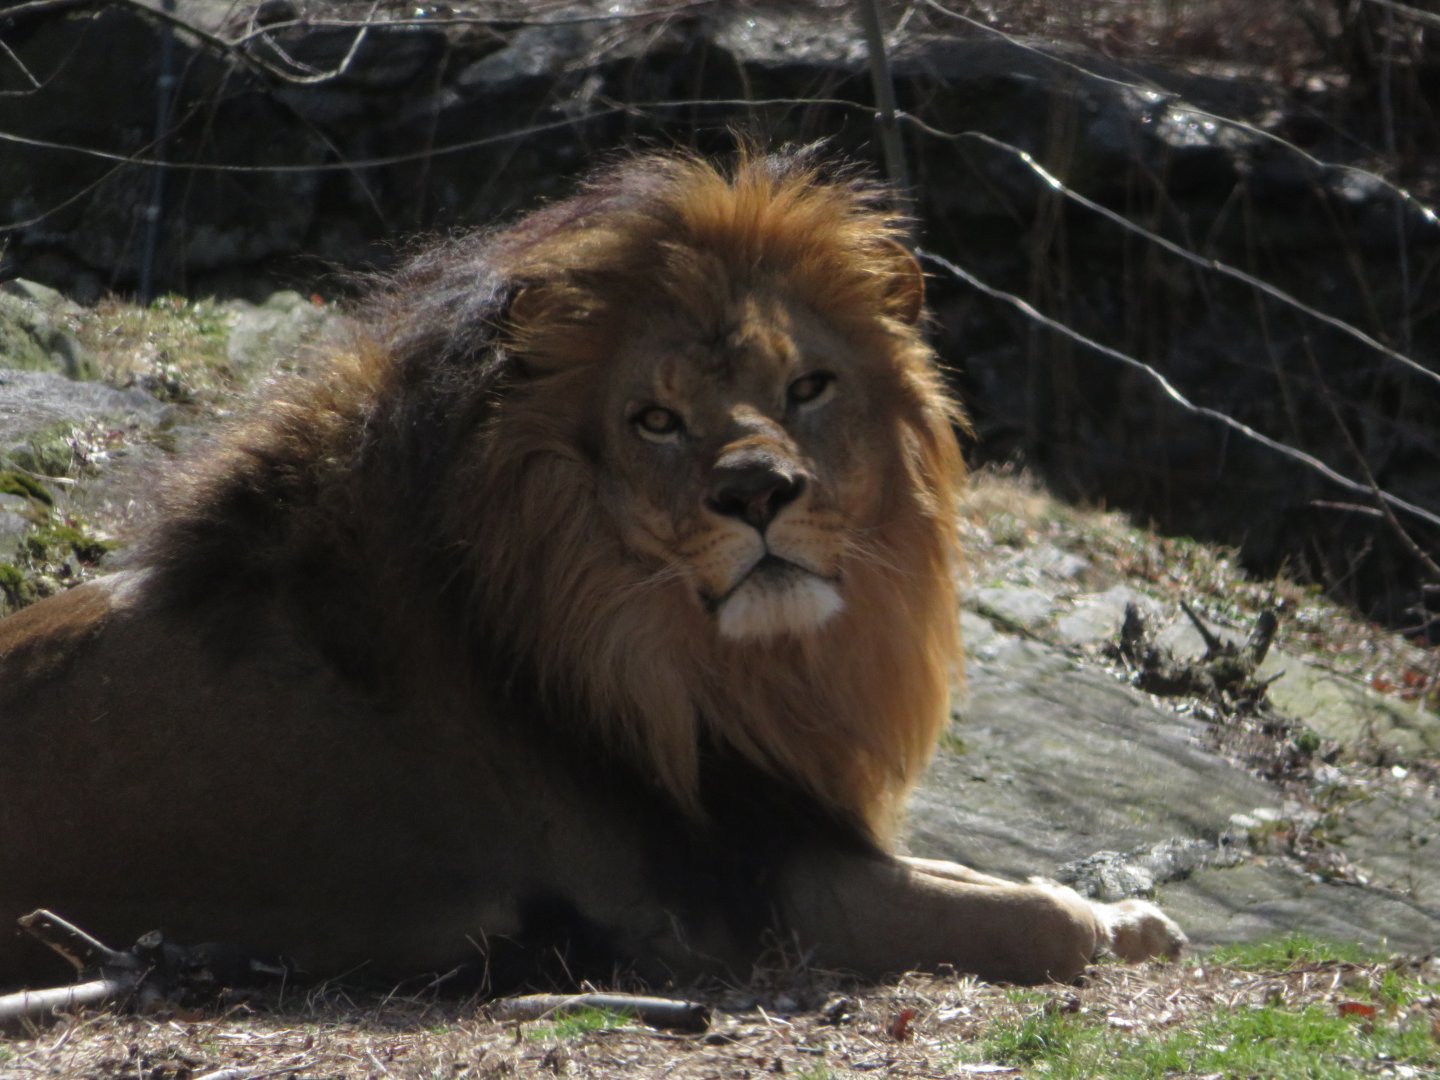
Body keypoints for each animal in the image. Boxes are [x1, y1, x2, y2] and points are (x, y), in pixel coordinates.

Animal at [0, 147, 1183, 992]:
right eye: (655, 420)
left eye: (806, 388)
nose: (760, 492)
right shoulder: (735, 906)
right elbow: (1025, 915)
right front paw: (1095, 924)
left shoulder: (787, 819)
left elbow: (992, 874)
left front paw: (1134, 918)